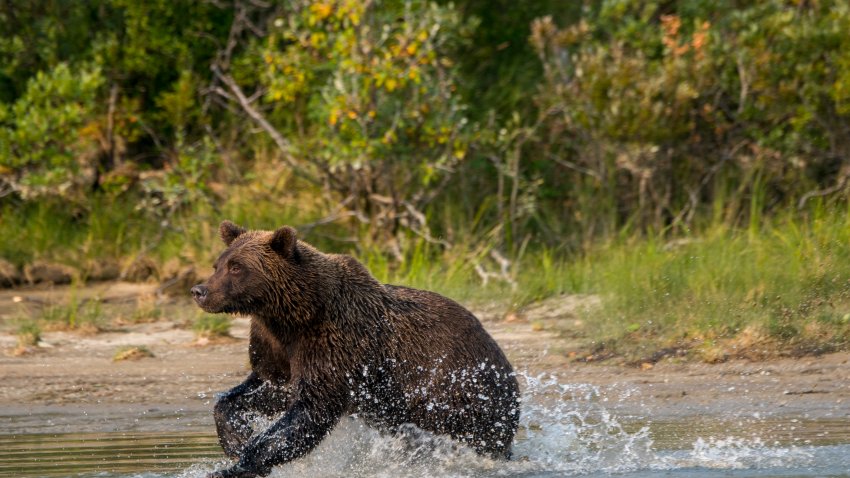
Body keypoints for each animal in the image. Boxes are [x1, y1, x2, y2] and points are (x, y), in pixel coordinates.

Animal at [193, 223, 520, 478]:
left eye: (237, 267)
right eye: (218, 265)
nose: (200, 291)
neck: (290, 315)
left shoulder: (332, 340)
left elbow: (311, 410)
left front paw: (237, 464)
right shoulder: (275, 346)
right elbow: (267, 388)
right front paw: (235, 439)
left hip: (460, 394)